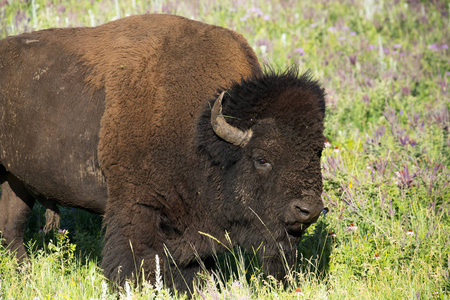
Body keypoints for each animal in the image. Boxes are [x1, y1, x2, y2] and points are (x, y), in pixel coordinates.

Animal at [0, 13, 326, 290]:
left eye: (318, 152)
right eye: (262, 158)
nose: (307, 210)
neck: (200, 130)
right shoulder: (136, 206)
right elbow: (136, 257)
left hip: (16, 182)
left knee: (11, 227)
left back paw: (23, 276)